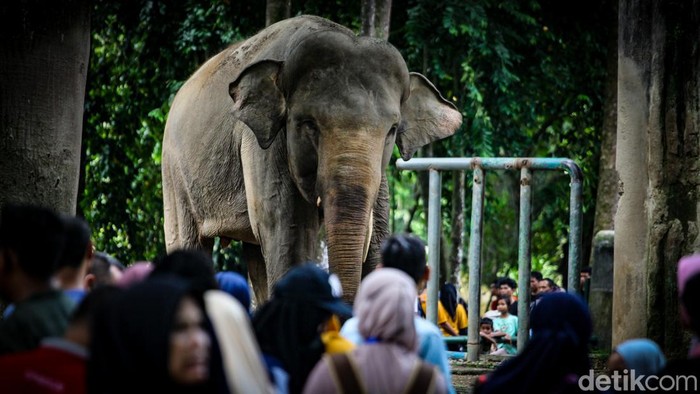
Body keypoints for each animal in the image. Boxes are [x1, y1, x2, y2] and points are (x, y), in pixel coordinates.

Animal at [161, 15, 462, 304]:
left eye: (392, 130)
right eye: (308, 124)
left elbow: (376, 239)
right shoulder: (264, 148)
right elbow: (288, 235)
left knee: (256, 253)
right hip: (173, 172)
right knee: (189, 242)